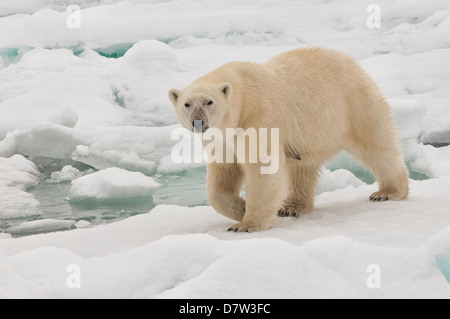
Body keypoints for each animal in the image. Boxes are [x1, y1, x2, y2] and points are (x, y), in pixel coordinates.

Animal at [168, 47, 408, 232]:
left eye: (209, 102)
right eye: (187, 103)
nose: (198, 122)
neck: (243, 97)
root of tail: (354, 64)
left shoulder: (258, 118)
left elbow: (263, 166)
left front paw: (247, 224)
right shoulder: (222, 138)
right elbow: (223, 174)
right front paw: (241, 208)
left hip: (354, 104)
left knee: (377, 146)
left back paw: (388, 192)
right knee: (303, 169)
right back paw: (293, 206)